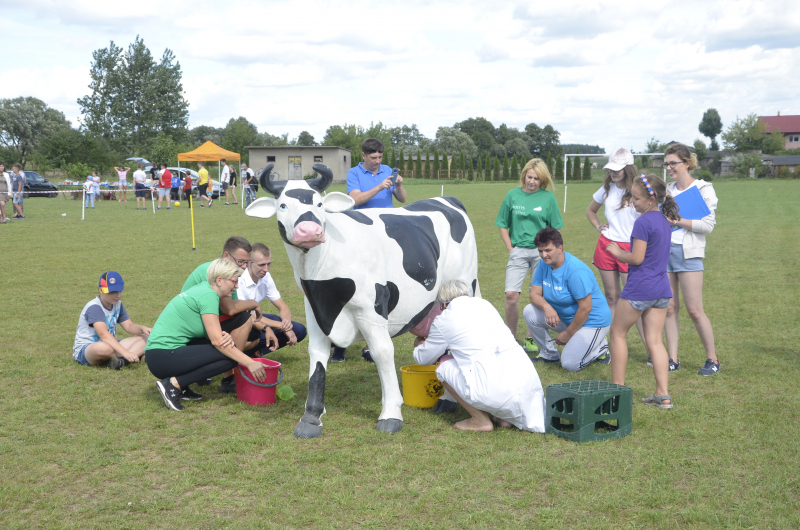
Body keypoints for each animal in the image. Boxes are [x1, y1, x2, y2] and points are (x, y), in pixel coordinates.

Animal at [246, 163, 480, 438]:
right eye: (282, 205)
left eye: (319, 203)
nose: (309, 231)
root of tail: (447, 199)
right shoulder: (316, 310)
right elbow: (317, 356)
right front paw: (312, 416)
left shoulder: (372, 308)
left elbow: (382, 352)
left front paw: (391, 414)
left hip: (466, 284)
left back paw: (447, 401)